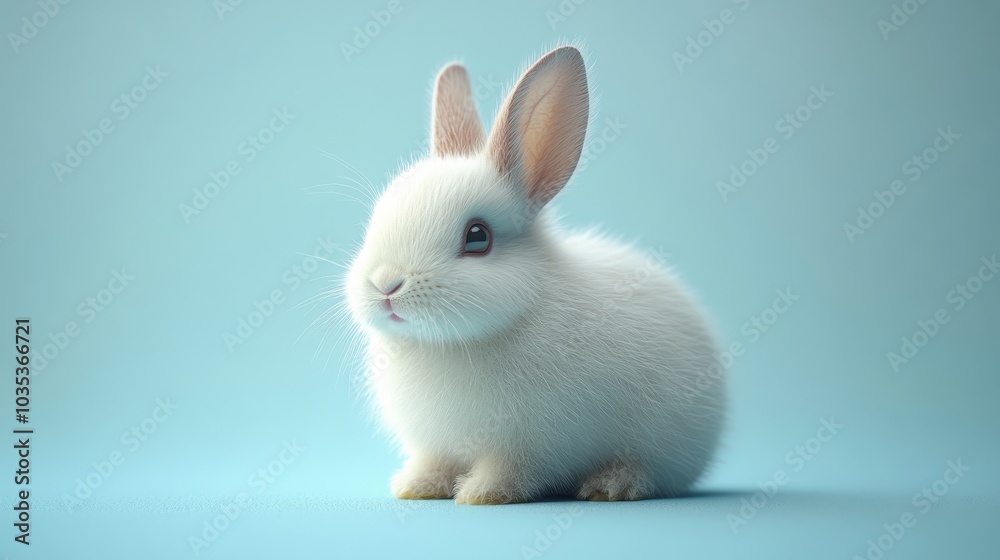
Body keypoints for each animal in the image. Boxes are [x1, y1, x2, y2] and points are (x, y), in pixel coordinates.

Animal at [345, 46, 725, 504]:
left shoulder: (527, 445)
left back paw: (611, 484)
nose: (386, 285)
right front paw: (414, 487)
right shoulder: (435, 445)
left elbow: (512, 471)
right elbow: (434, 464)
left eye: (477, 237)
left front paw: (480, 494)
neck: (447, 344)